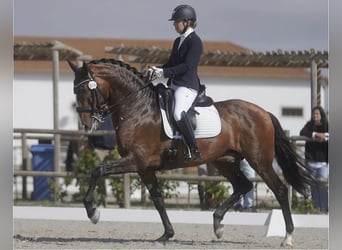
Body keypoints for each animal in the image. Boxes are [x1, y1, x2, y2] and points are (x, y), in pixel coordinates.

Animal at [69, 58, 316, 246]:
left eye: (84, 89)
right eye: (74, 90)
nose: (86, 125)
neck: (137, 109)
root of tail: (263, 112)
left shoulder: (135, 160)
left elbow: (98, 170)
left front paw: (93, 213)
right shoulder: (145, 168)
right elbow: (158, 200)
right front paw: (166, 234)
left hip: (259, 160)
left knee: (280, 190)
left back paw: (287, 237)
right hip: (225, 161)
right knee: (243, 186)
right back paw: (217, 225)